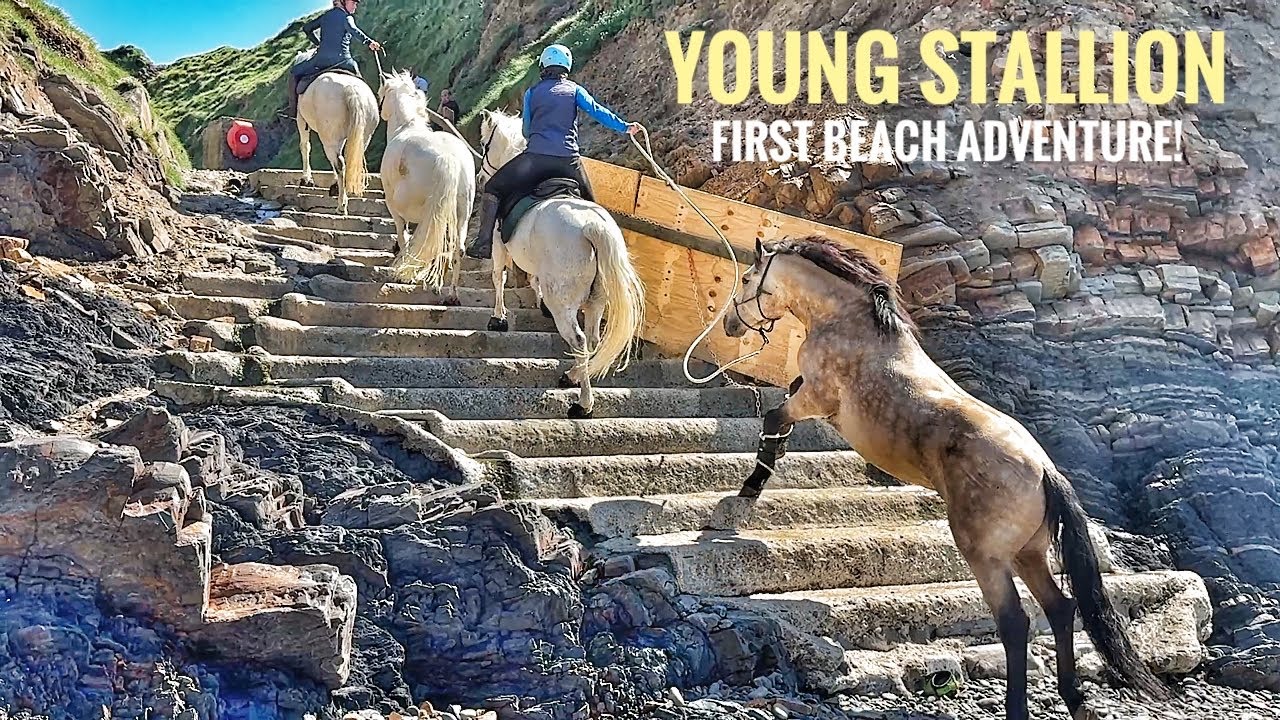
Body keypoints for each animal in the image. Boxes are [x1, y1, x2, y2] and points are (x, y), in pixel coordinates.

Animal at [294, 51, 379, 216]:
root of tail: (351, 89)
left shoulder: (301, 120)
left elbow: (305, 146)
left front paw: (306, 179)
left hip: (329, 138)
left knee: (339, 163)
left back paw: (341, 205)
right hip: (363, 137)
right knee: (347, 161)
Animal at [377, 70, 476, 299]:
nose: (380, 110)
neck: (407, 125)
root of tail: (449, 157)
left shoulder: (395, 208)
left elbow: (403, 236)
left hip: (428, 212)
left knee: (428, 242)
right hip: (460, 213)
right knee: (457, 248)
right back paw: (451, 293)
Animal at [477, 109, 646, 418]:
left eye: (484, 144)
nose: (482, 177)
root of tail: (593, 227)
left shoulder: (497, 245)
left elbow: (499, 277)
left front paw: (498, 318)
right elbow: (532, 280)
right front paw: (536, 303)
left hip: (565, 300)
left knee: (578, 339)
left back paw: (583, 404)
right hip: (597, 298)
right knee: (592, 339)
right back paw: (573, 375)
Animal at [721, 236, 1170, 720]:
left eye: (749, 279)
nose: (729, 323)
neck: (849, 323)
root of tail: (1046, 473)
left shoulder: (817, 398)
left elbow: (774, 415)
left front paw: (750, 488)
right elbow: (781, 408)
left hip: (986, 557)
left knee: (1016, 622)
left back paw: (1019, 706)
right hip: (1028, 554)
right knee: (1061, 608)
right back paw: (1074, 697)